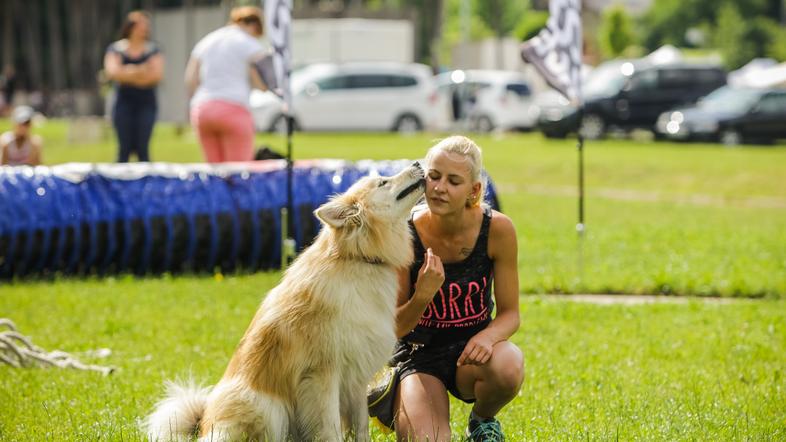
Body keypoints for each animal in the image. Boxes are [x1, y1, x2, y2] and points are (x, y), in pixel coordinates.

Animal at [145, 163, 422, 442]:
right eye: (383, 182)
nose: (418, 164)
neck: (358, 258)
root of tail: (203, 424)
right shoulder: (323, 373)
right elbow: (330, 425)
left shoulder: (356, 376)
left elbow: (361, 425)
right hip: (268, 408)